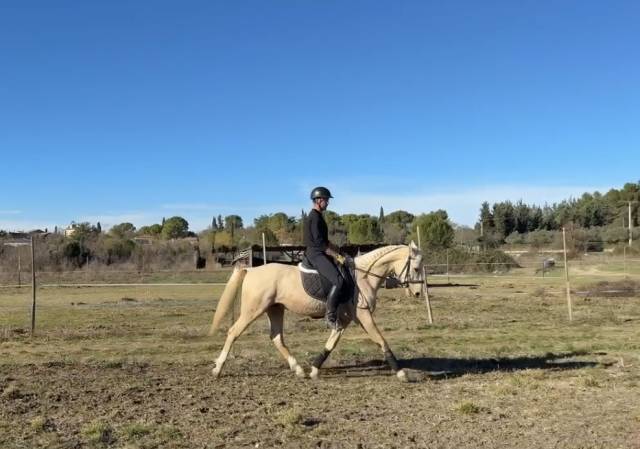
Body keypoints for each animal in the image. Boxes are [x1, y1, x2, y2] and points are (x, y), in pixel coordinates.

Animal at [208, 242, 424, 381]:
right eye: (415, 267)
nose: (417, 293)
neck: (363, 276)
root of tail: (251, 270)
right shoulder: (362, 315)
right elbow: (381, 340)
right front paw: (401, 373)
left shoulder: (344, 319)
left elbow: (331, 343)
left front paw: (314, 369)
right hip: (253, 310)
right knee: (233, 332)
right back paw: (218, 369)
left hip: (275, 309)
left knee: (276, 337)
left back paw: (298, 370)